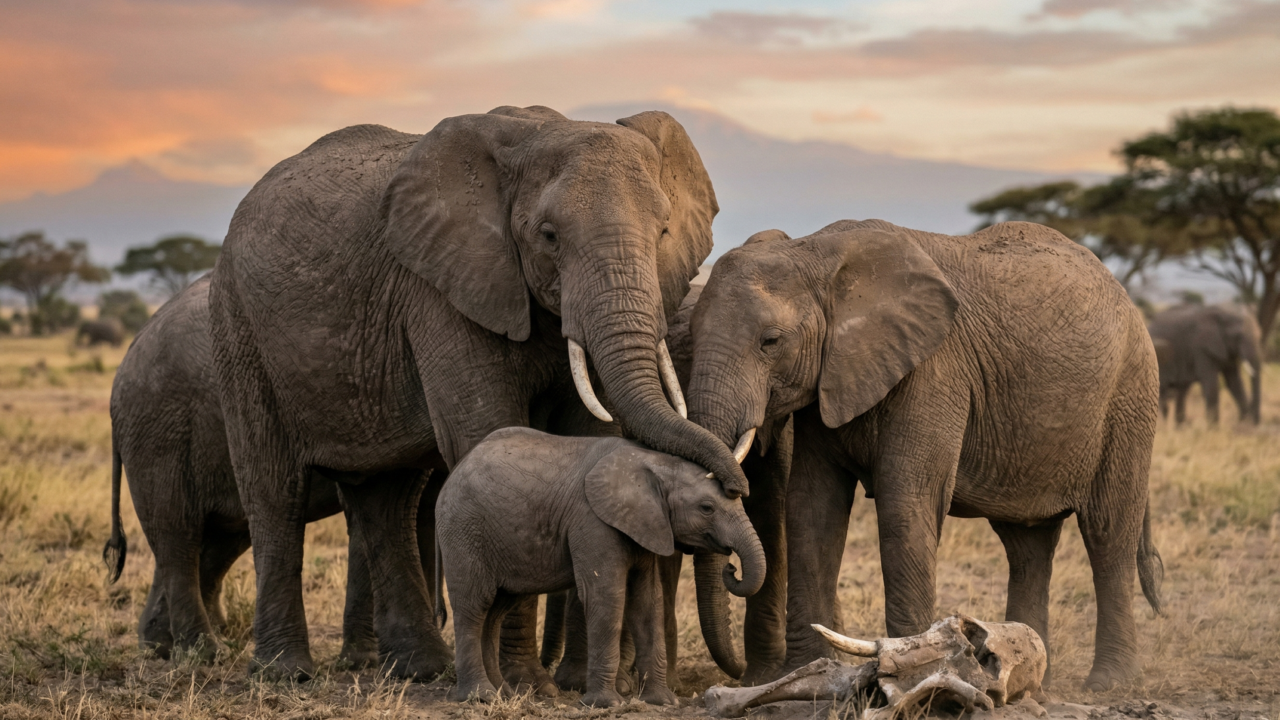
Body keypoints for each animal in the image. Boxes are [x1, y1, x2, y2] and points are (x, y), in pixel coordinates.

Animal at [208, 105, 748, 681]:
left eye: (663, 230)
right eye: (549, 235)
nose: (735, 486)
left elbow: (590, 431)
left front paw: (574, 681)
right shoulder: (440, 291)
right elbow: (484, 429)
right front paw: (526, 682)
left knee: (388, 500)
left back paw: (421, 669)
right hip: (240, 331)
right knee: (274, 491)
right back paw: (286, 671)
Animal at [437, 427, 764, 707]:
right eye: (707, 508)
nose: (732, 569)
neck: (656, 463)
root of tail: (449, 478)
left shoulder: (646, 526)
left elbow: (647, 602)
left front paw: (662, 702)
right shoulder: (592, 521)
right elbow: (606, 596)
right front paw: (607, 704)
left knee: (495, 611)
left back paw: (502, 694)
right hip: (463, 531)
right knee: (474, 605)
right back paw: (480, 697)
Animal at [684, 220, 1164, 691]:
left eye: (770, 341)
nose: (732, 571)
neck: (816, 251)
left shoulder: (934, 370)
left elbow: (906, 505)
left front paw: (914, 673)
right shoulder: (829, 383)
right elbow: (812, 507)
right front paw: (802, 673)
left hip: (1129, 395)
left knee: (1107, 532)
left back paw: (1108, 685)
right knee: (1027, 545)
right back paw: (1028, 675)